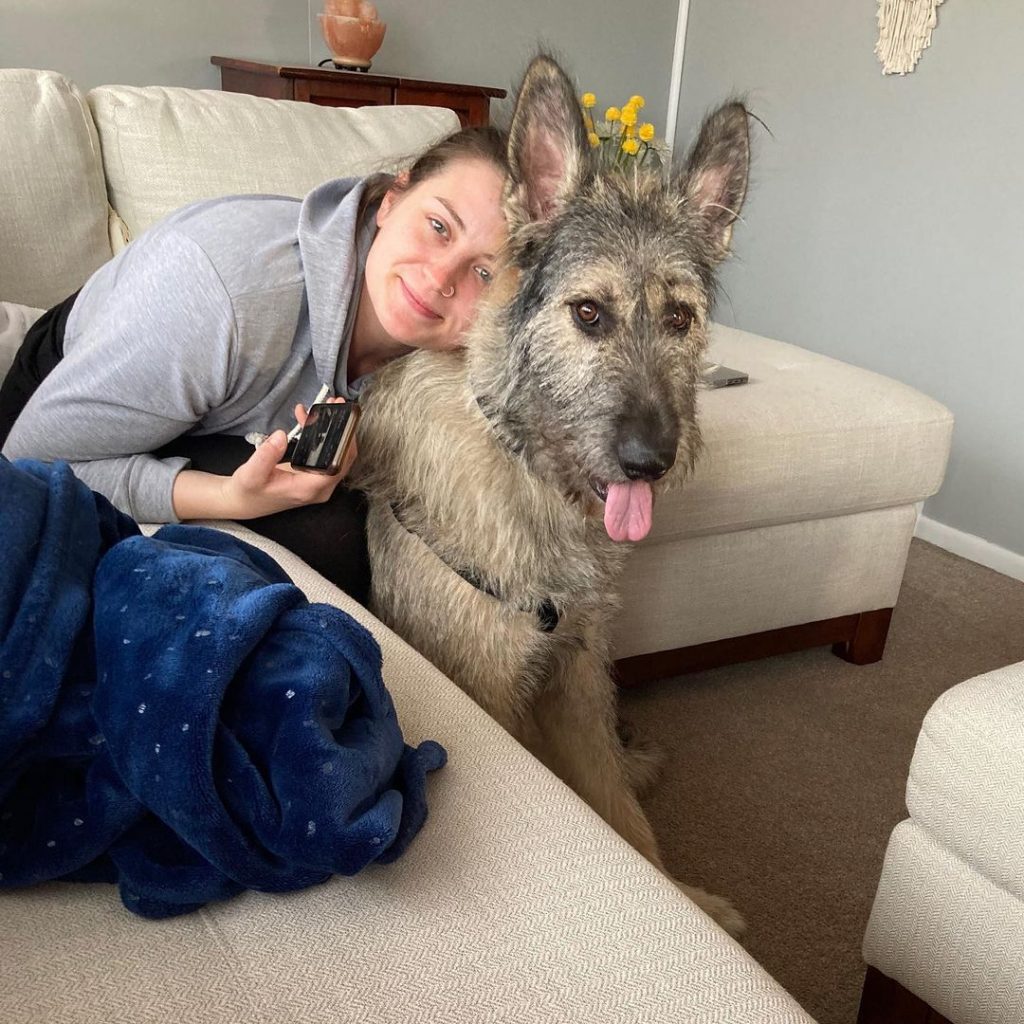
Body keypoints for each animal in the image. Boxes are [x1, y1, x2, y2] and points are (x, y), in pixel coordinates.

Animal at [358, 54, 753, 937]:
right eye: (589, 313)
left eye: (681, 318)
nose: (651, 461)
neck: (528, 472)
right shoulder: (494, 686)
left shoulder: (579, 675)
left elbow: (623, 818)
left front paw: (692, 898)